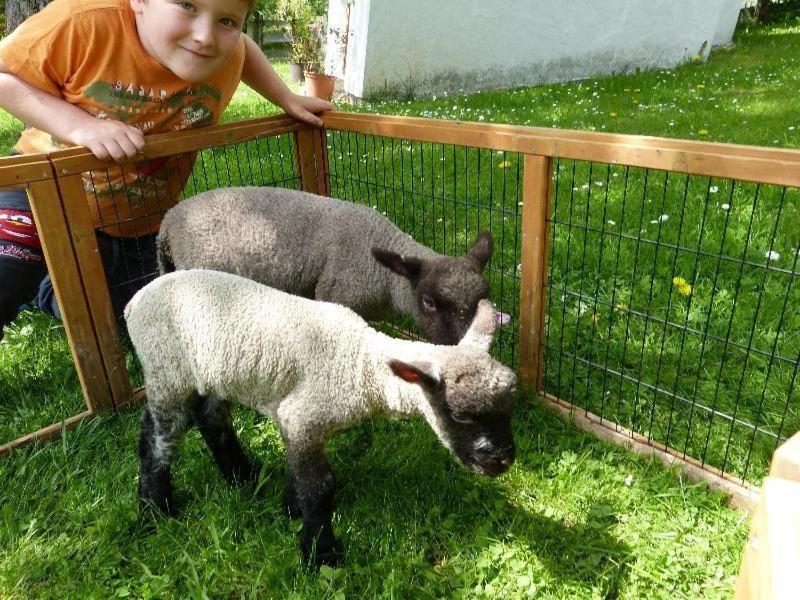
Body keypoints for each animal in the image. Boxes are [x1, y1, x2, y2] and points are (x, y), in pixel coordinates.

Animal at [122, 272, 516, 568]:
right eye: (460, 415)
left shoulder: (297, 421)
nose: (503, 460)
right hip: (166, 369)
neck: (359, 364)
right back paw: (154, 511)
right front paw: (320, 554)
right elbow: (321, 486)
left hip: (210, 371)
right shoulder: (303, 417)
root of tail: (134, 300)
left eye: (509, 405)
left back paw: (243, 477)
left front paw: (289, 508)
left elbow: (299, 474)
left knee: (210, 417)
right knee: (157, 439)